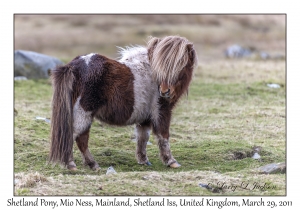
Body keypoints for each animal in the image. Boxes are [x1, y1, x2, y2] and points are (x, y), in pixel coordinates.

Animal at [49, 35, 198, 171]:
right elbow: (163, 136)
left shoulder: (144, 119)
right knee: (73, 137)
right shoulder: (161, 111)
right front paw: (171, 161)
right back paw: (72, 165)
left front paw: (143, 160)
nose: (164, 91)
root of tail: (74, 66)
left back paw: (92, 165)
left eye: (181, 65)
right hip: (83, 113)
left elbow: (143, 138)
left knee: (81, 139)